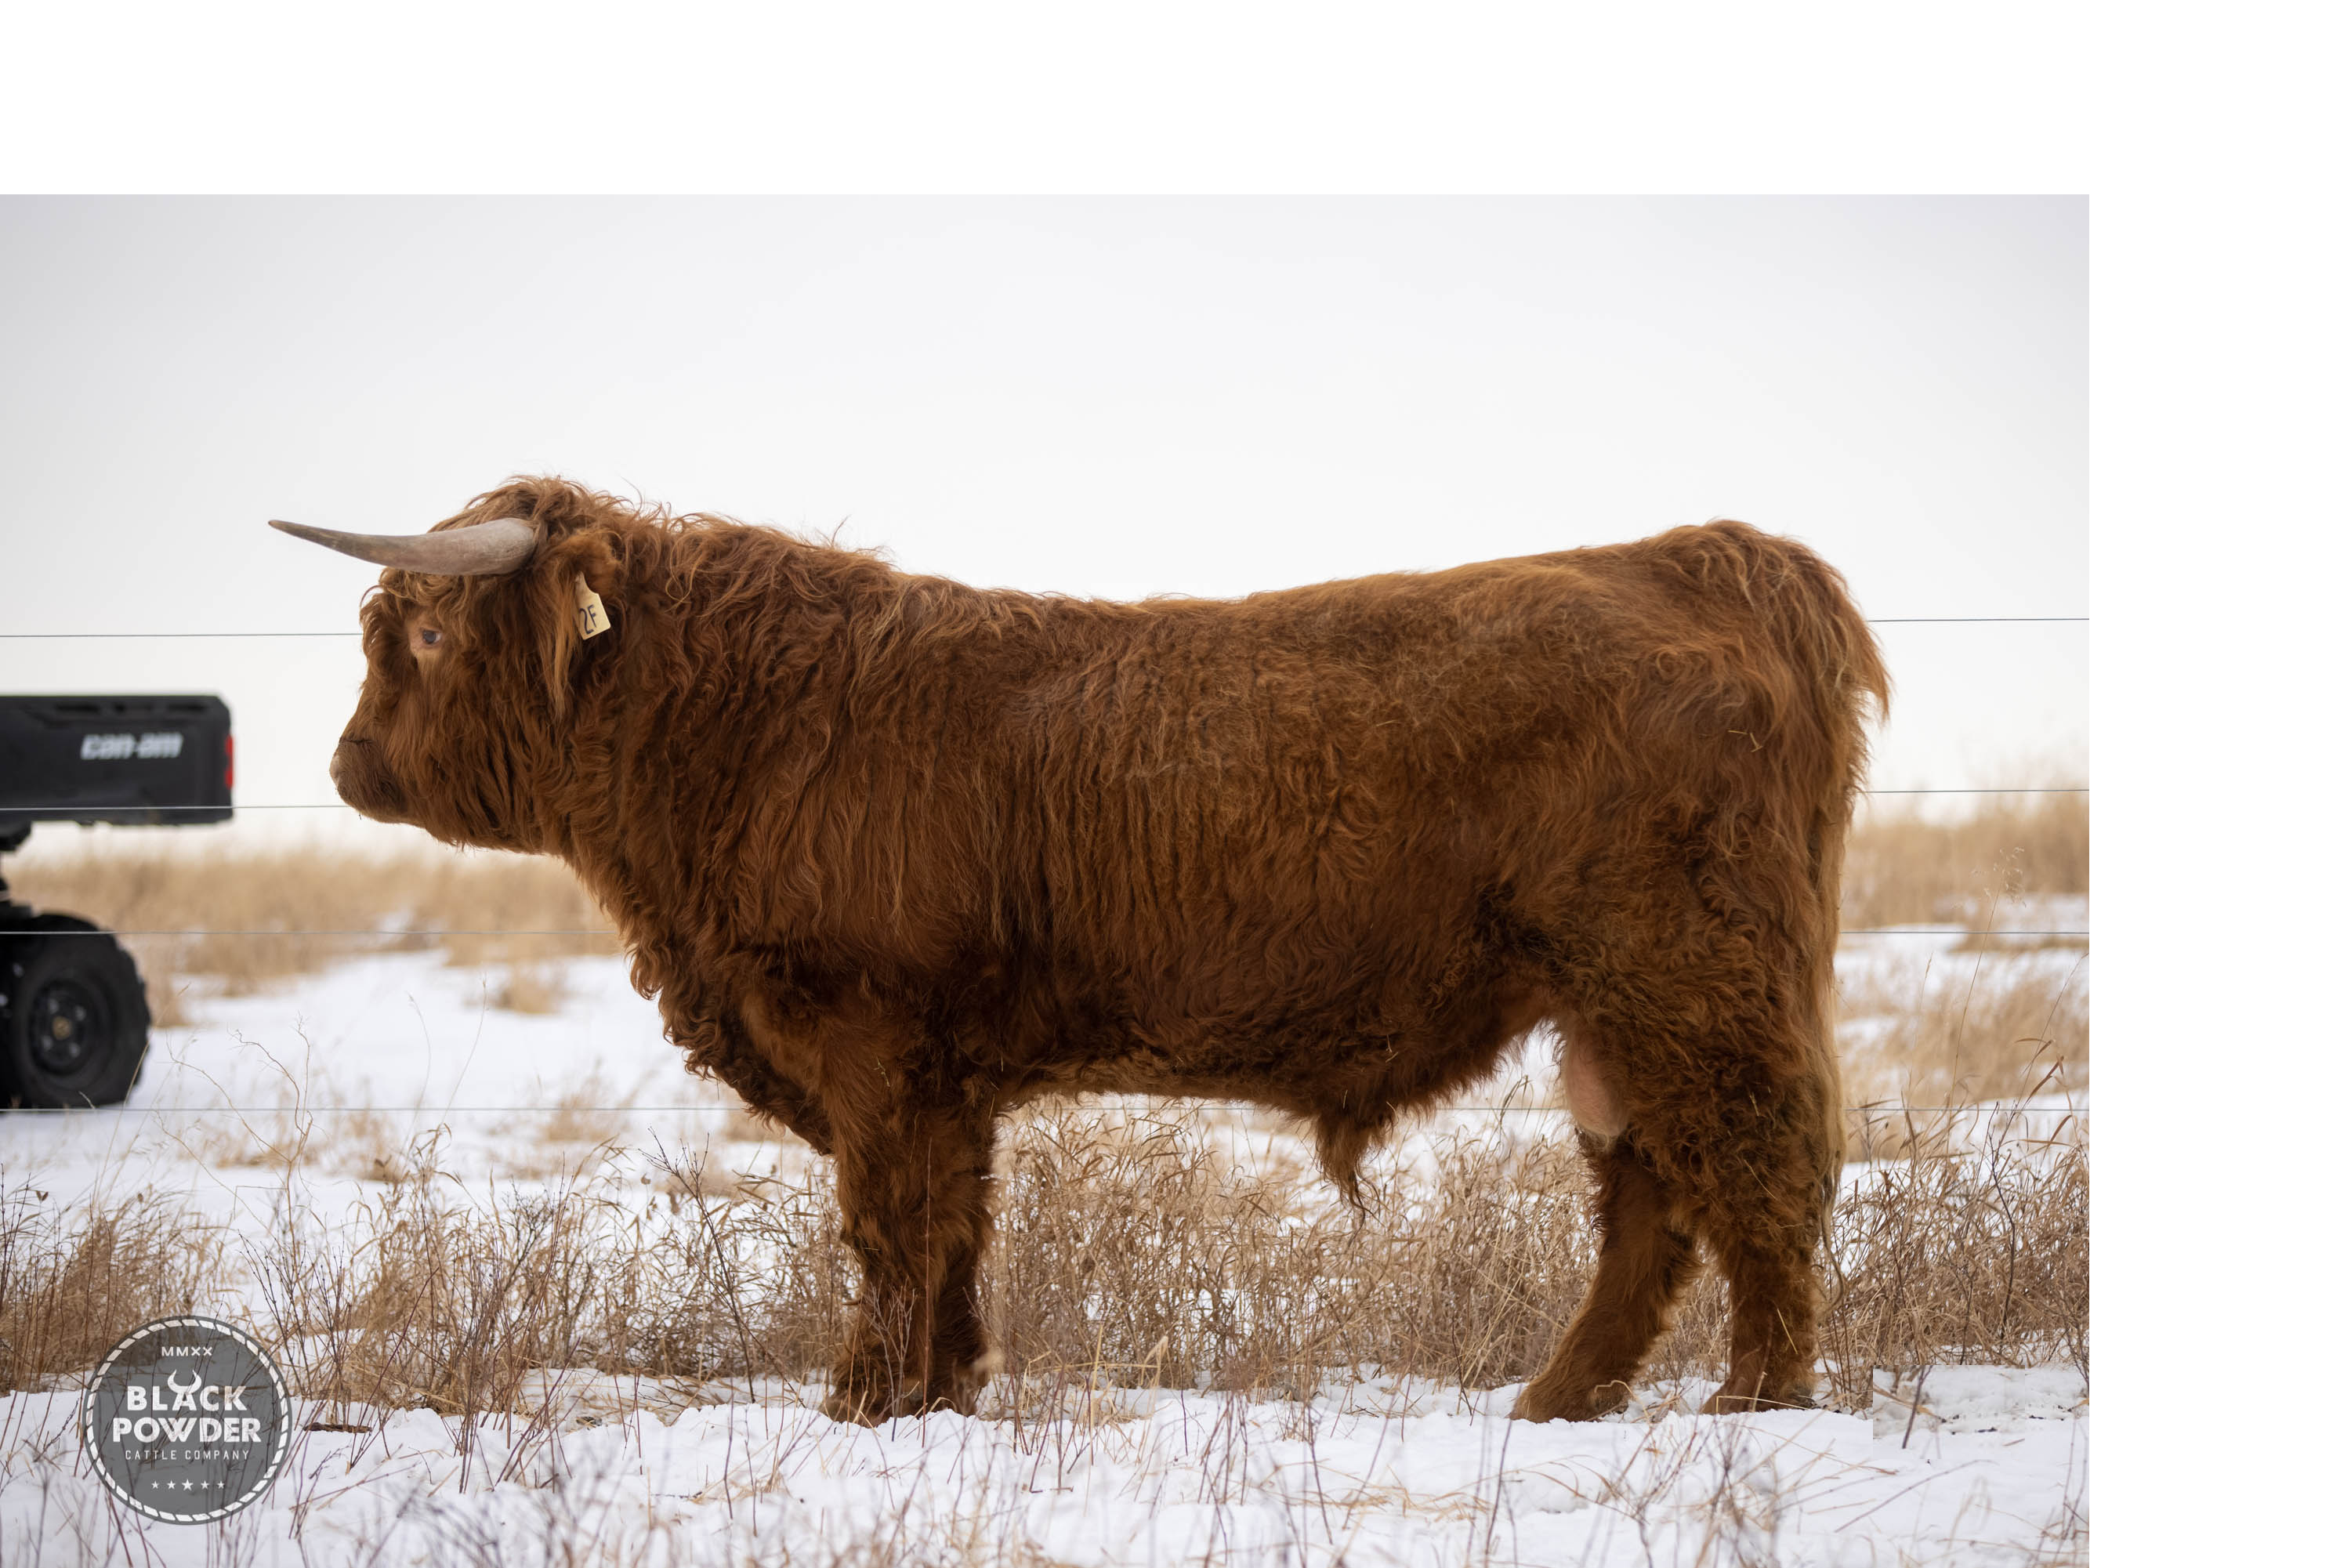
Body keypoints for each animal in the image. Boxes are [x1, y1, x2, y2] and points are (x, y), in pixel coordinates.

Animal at [273, 477, 1886, 1425]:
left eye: (423, 633)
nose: (348, 766)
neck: (741, 725)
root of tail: (1704, 557)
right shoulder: (943, 1069)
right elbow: (952, 1227)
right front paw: (942, 1391)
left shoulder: (872, 1043)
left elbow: (888, 1228)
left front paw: (860, 1402)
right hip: (1616, 1002)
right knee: (1650, 1188)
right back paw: (1561, 1399)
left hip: (1687, 975)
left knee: (1756, 1162)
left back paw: (1758, 1399)